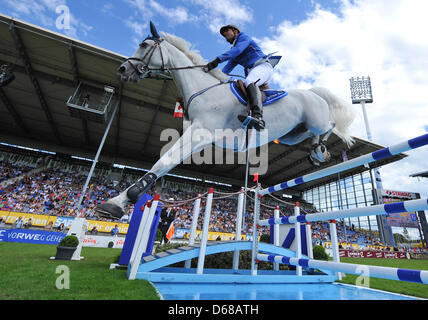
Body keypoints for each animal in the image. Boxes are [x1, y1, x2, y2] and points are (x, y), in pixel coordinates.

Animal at [97, 21, 354, 219]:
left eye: (144, 45)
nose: (122, 69)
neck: (202, 88)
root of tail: (313, 93)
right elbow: (164, 163)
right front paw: (120, 201)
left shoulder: (199, 134)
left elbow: (163, 162)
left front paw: (118, 201)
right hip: (292, 135)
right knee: (311, 134)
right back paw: (316, 151)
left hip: (316, 121)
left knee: (331, 126)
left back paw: (321, 150)